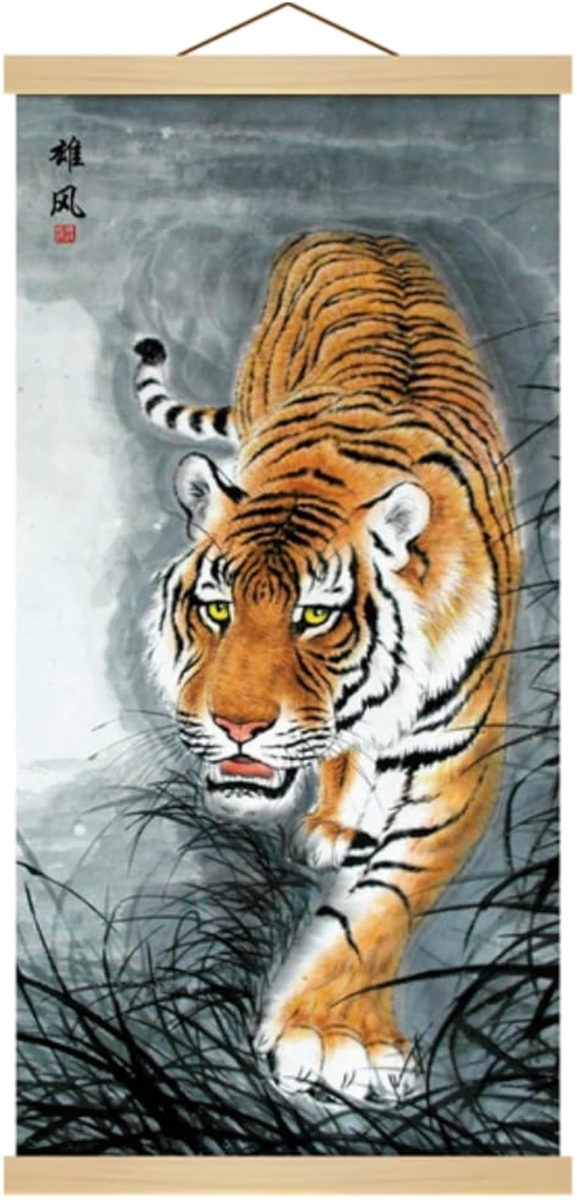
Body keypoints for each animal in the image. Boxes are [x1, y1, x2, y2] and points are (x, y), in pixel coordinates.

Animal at [132, 231, 520, 1104]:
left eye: (315, 616)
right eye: (217, 609)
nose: (236, 725)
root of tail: (358, 230)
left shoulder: (464, 755)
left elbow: (387, 898)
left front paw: (332, 1036)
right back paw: (335, 822)